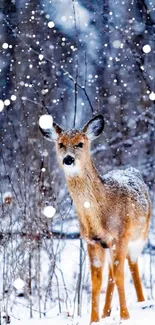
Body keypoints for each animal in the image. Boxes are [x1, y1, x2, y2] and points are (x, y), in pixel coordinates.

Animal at [39, 113, 151, 322]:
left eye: (80, 143)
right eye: (60, 144)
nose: (68, 159)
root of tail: (132, 170)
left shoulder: (121, 235)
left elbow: (120, 275)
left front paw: (125, 317)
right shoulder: (92, 241)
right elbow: (96, 281)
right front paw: (94, 320)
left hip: (140, 235)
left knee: (132, 266)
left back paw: (141, 302)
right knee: (111, 273)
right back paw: (107, 312)